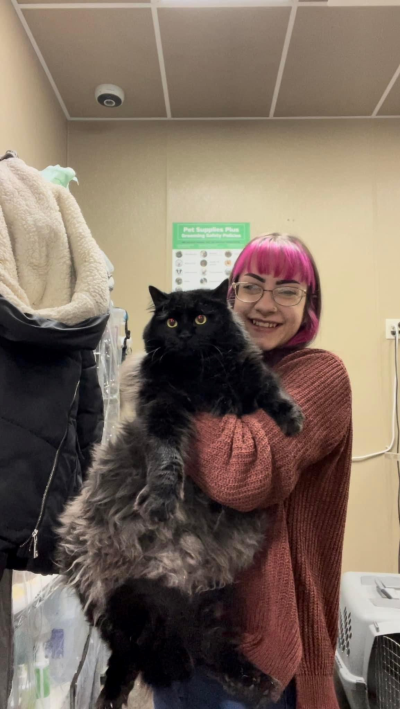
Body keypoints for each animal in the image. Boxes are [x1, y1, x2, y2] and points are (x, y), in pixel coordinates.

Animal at [58, 279, 303, 709]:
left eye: (202, 318)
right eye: (171, 321)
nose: (186, 334)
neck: (200, 372)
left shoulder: (247, 373)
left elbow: (270, 388)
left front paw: (291, 418)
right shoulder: (163, 408)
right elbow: (166, 460)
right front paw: (161, 500)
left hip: (194, 608)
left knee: (205, 650)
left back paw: (256, 682)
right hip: (113, 598)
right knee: (127, 652)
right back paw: (111, 693)